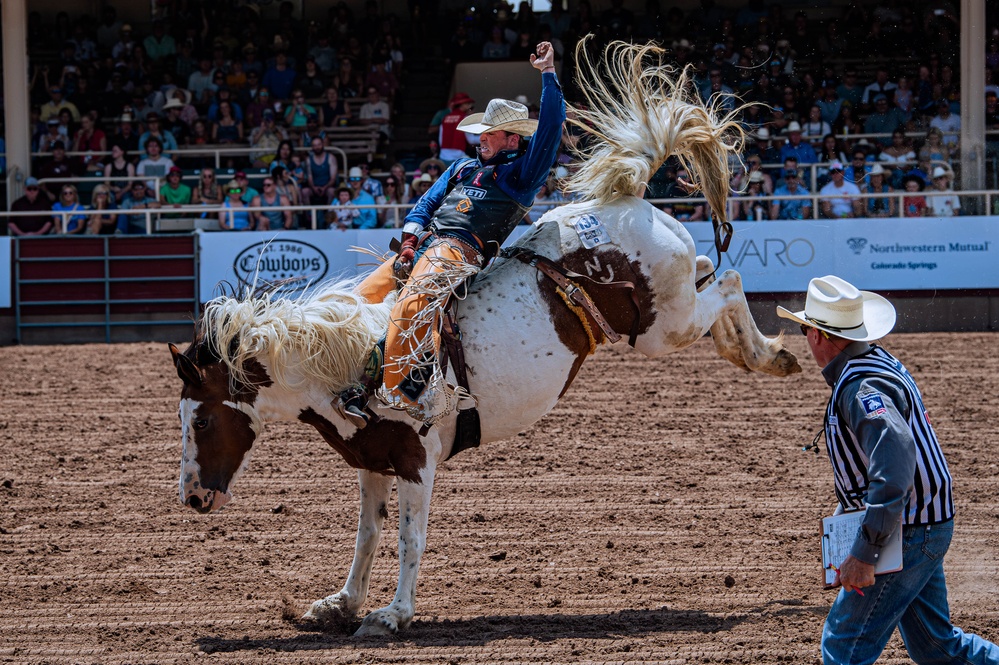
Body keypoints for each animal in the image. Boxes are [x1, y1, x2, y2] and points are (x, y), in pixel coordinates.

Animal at [168, 40, 800, 632]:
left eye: (202, 421)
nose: (193, 498)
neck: (349, 365)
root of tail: (627, 195)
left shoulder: (417, 459)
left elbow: (410, 537)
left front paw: (393, 614)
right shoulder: (371, 461)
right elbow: (367, 535)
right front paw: (339, 604)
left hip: (662, 327)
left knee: (732, 280)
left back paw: (767, 355)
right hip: (670, 309)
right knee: (713, 273)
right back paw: (759, 352)